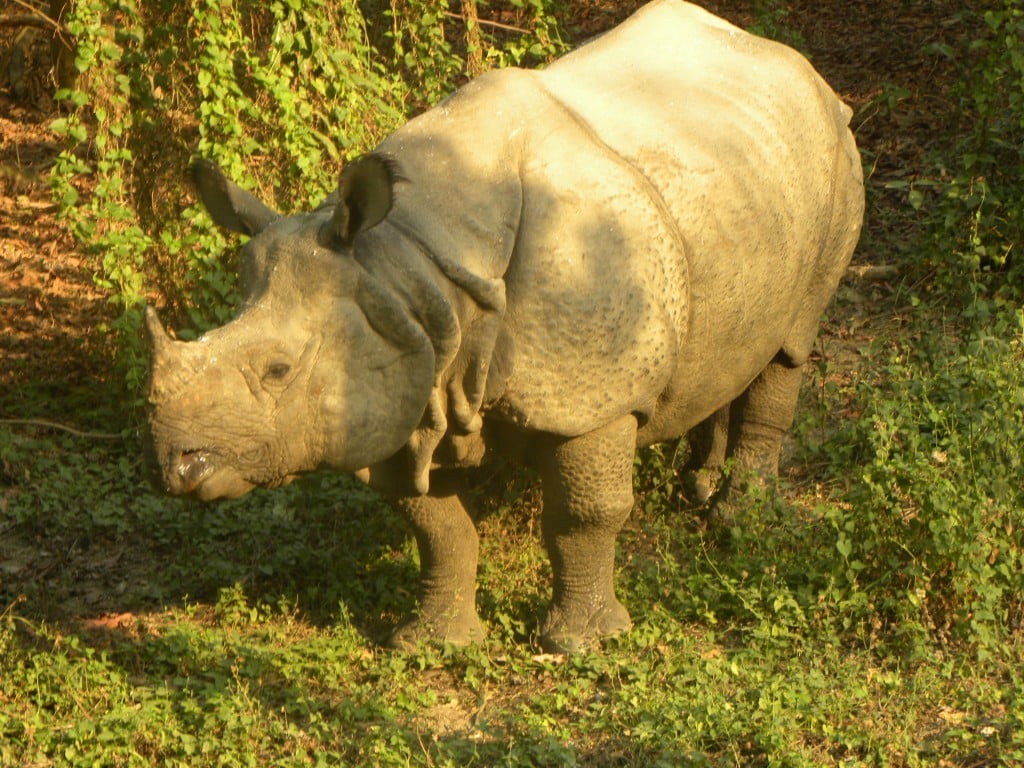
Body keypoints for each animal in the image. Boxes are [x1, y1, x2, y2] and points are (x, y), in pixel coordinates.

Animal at [145, 0, 864, 653]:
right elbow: (435, 528)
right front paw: (433, 644)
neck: (411, 269)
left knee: (791, 343)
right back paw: (703, 484)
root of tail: (788, 59)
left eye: (278, 371)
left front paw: (585, 644)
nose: (174, 466)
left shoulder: (589, 396)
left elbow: (585, 514)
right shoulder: (405, 373)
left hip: (836, 155)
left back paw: (741, 518)